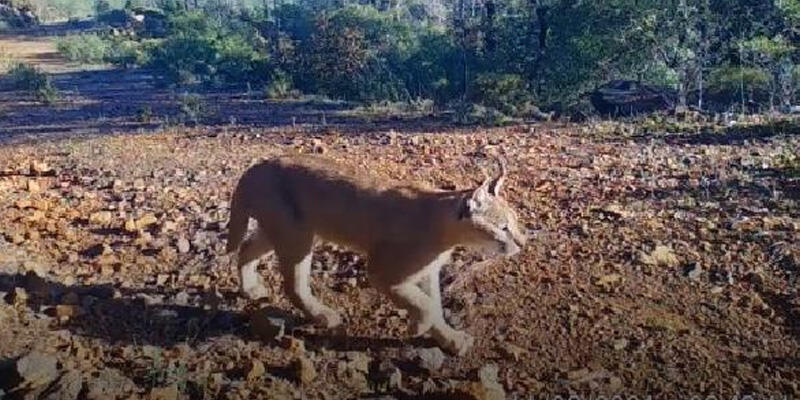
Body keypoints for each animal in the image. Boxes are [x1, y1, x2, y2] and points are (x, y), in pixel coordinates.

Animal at [227, 155, 524, 354]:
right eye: (503, 228)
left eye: (516, 223)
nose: (522, 243)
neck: (442, 226)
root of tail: (260, 164)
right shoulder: (382, 272)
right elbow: (426, 304)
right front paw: (419, 327)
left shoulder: (425, 272)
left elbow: (435, 305)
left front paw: (450, 339)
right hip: (296, 235)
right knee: (293, 286)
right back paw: (325, 315)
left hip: (284, 230)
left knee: (246, 248)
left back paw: (250, 288)